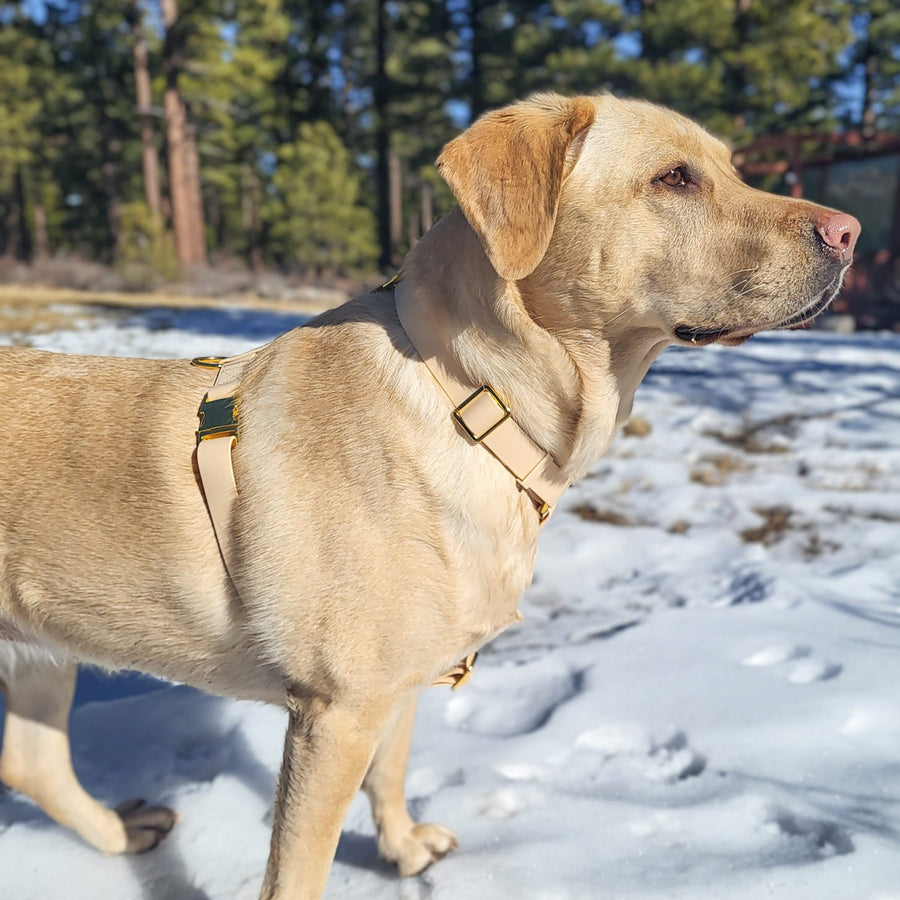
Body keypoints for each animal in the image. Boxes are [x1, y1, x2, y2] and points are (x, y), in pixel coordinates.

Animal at [0, 93, 856, 900]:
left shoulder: (400, 680)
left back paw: (120, 834)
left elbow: (394, 767)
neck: (474, 399)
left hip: (44, 652)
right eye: (675, 178)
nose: (848, 233)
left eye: (735, 168)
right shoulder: (335, 712)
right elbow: (298, 872)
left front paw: (402, 848)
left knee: (32, 764)